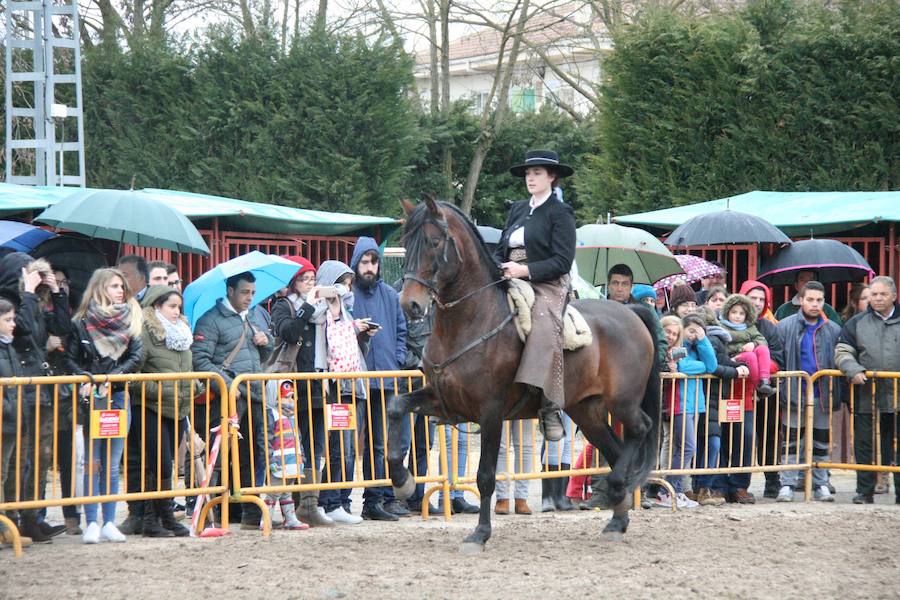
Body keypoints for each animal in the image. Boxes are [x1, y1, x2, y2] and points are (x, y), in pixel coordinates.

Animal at [386, 198, 660, 552]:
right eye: (407, 244)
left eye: (434, 242)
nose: (410, 305)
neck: (471, 321)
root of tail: (632, 311)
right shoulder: (443, 401)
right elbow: (395, 406)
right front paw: (402, 481)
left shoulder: (490, 412)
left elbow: (485, 476)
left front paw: (480, 533)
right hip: (586, 412)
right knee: (614, 450)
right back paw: (617, 518)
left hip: (622, 402)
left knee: (641, 429)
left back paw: (617, 496)